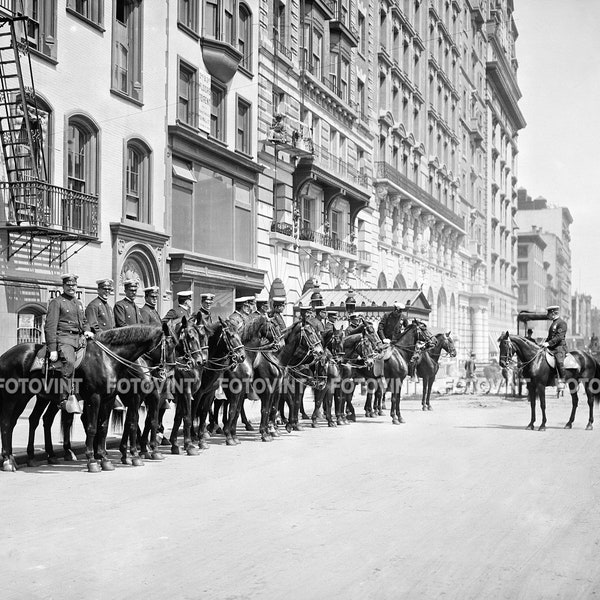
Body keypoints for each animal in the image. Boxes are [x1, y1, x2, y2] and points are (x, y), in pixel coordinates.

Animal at [0, 326, 173, 472]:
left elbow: (105, 427)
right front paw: (93, 460)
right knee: (7, 423)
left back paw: (21, 458)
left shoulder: (110, 399)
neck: (107, 359)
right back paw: (8, 461)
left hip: (31, 397)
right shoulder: (97, 397)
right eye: (170, 345)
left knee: (28, 421)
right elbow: (93, 427)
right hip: (12, 397)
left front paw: (105, 458)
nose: (166, 373)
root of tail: (6, 355)